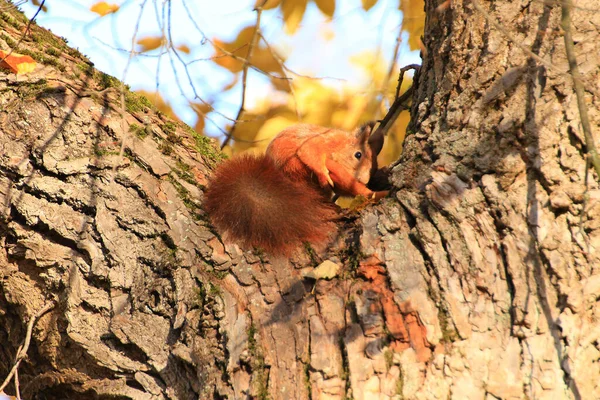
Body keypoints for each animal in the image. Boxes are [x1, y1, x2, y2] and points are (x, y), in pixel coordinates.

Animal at [203, 122, 390, 255]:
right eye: (358, 155)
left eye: (374, 167)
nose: (364, 180)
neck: (340, 145)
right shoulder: (322, 142)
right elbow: (309, 152)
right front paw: (323, 174)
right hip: (295, 165)